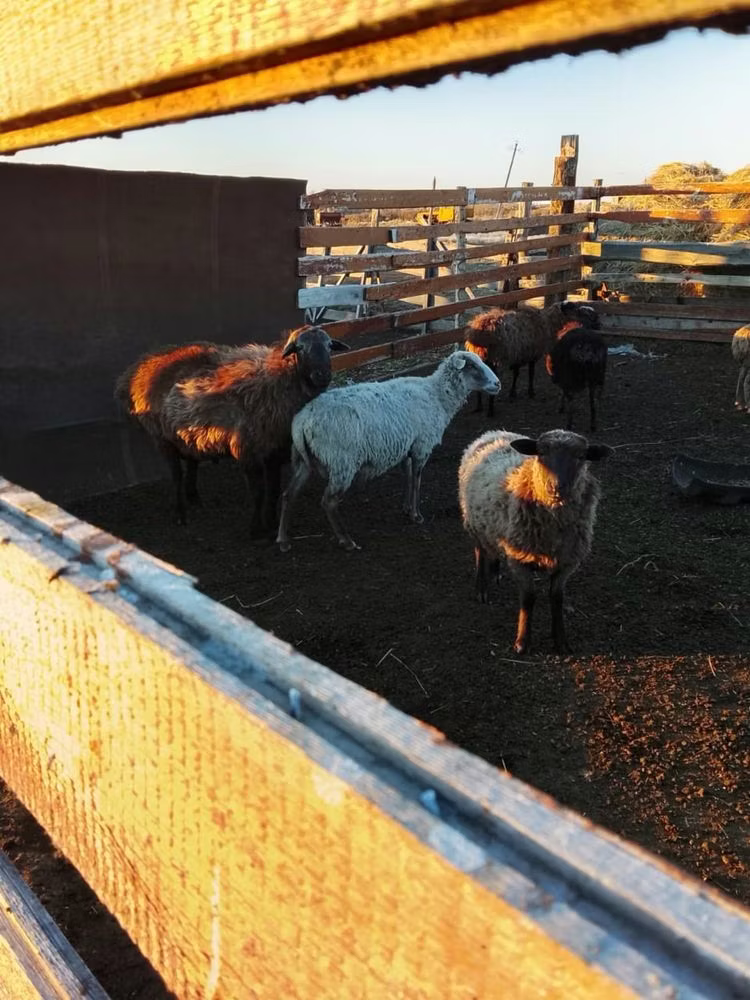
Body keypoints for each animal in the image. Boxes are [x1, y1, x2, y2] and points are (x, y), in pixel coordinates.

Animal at [115, 325, 350, 532]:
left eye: (330, 346)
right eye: (300, 348)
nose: (322, 375)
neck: (277, 380)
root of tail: (141, 365)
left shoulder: (274, 452)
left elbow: (273, 491)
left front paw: (271, 523)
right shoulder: (248, 451)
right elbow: (258, 492)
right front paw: (257, 529)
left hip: (184, 435)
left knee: (191, 464)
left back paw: (194, 498)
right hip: (162, 438)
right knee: (176, 476)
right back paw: (180, 513)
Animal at [276, 350, 501, 552]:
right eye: (472, 366)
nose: (498, 384)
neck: (436, 396)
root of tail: (302, 420)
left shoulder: (408, 447)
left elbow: (408, 477)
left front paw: (406, 508)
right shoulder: (422, 446)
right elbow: (417, 481)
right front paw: (416, 515)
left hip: (303, 461)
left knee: (288, 494)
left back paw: (283, 540)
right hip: (342, 462)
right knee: (328, 502)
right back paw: (347, 541)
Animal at [458, 428, 612, 654]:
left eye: (580, 456)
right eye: (542, 453)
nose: (556, 487)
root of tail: (492, 432)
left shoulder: (567, 562)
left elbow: (557, 598)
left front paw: (561, 641)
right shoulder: (519, 558)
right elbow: (528, 598)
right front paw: (522, 643)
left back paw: (496, 573)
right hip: (474, 523)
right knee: (480, 552)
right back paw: (482, 589)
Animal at [464, 300, 600, 416]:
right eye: (573, 307)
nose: (594, 317)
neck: (547, 322)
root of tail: (477, 331)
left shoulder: (521, 353)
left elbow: (516, 373)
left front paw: (513, 393)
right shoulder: (533, 353)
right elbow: (531, 373)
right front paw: (530, 392)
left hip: (479, 358)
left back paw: (479, 407)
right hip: (493, 358)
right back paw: (490, 411)